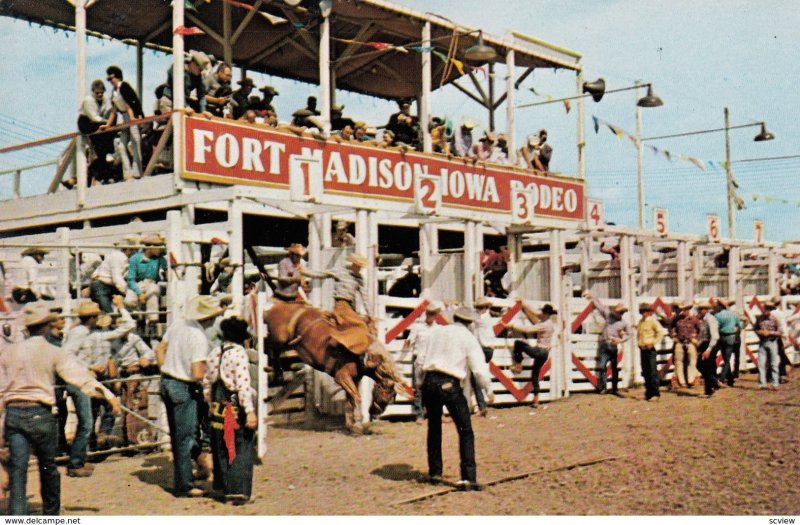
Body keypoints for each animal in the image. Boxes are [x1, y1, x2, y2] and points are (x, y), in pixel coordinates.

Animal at [264, 298, 406, 434]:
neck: (360, 358)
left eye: (392, 397)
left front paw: (351, 426)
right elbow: (356, 397)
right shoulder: (341, 377)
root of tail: (277, 305)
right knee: (270, 345)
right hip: (280, 337)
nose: (376, 414)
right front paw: (358, 426)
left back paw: (277, 373)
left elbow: (349, 402)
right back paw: (273, 370)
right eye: (383, 391)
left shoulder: (353, 380)